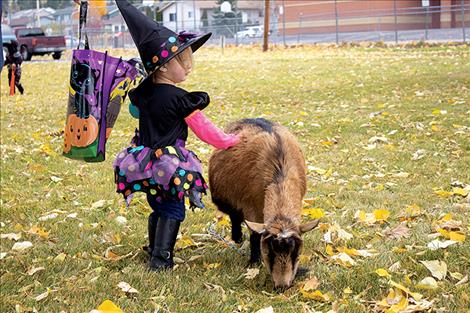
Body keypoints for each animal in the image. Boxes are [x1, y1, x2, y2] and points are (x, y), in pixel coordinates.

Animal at [209, 117, 320, 288]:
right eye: (270, 252)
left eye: (295, 254)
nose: (282, 286)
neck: (280, 175)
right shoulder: (250, 206)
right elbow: (254, 235)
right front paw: (254, 262)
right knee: (234, 216)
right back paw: (237, 237)